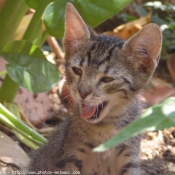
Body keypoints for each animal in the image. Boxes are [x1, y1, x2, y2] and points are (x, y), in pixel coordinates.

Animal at [28, 2, 161, 175]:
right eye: (77, 70)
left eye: (107, 79)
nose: (82, 92)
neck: (104, 130)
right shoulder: (68, 159)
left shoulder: (130, 160)